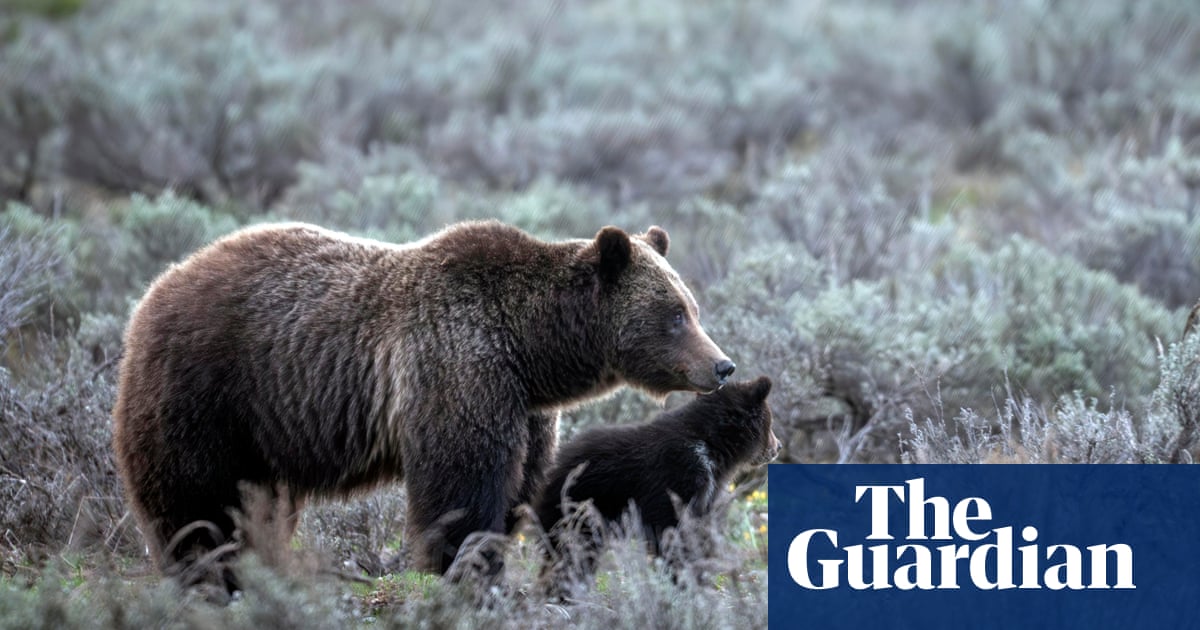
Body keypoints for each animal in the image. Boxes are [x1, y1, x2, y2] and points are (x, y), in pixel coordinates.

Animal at [112, 218, 729, 583]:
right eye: (675, 314)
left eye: (692, 308)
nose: (722, 365)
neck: (531, 349)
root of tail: (155, 288)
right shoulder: (458, 365)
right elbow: (461, 482)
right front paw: (463, 565)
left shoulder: (524, 408)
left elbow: (518, 487)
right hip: (209, 391)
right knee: (195, 497)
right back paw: (206, 569)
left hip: (260, 428)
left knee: (256, 502)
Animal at [535, 374, 777, 590]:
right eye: (770, 422)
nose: (778, 447)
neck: (711, 447)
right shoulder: (678, 474)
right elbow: (673, 529)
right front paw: (686, 581)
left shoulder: (706, 490)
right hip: (581, 505)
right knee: (572, 549)